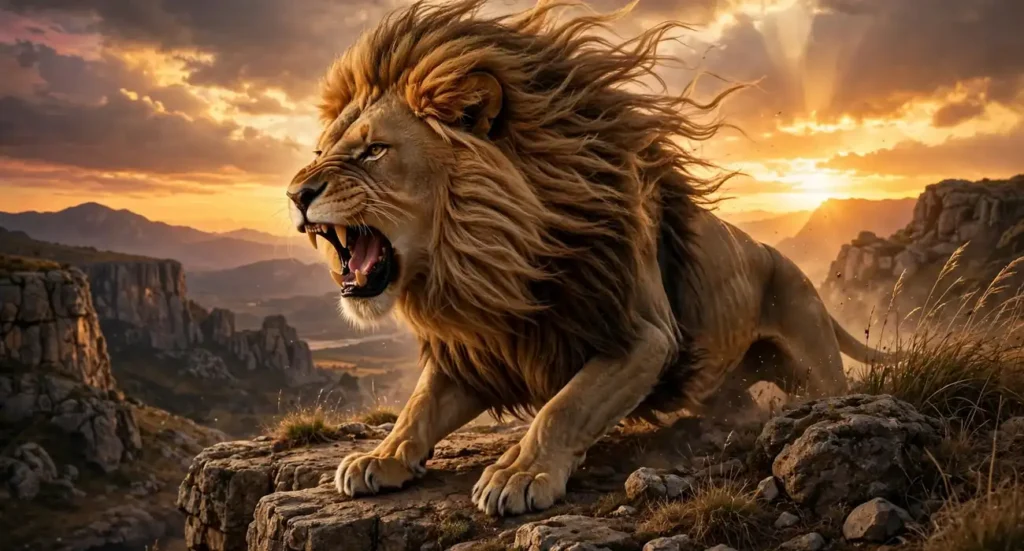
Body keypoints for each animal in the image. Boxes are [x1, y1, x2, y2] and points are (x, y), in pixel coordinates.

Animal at [285, 0, 883, 517]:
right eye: (320, 152)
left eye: (373, 151)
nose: (295, 194)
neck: (495, 268)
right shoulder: (482, 351)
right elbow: (418, 407)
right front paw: (381, 456)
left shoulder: (645, 336)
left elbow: (564, 406)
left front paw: (519, 473)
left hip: (814, 367)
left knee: (832, 390)